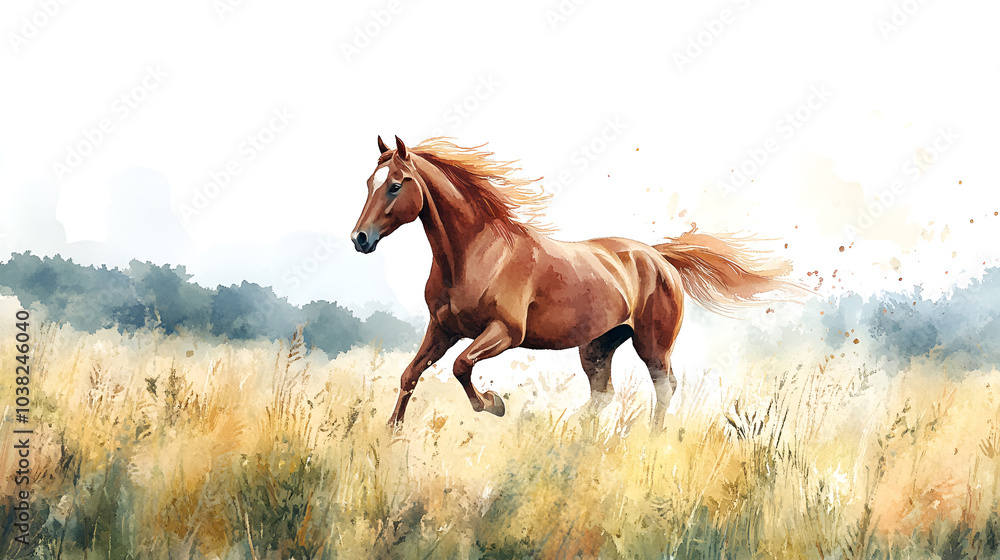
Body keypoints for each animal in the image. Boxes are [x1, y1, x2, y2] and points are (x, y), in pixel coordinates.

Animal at [351, 135, 801, 429]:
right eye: (369, 183)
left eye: (395, 186)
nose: (360, 239)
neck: (475, 254)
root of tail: (659, 257)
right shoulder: (442, 329)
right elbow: (410, 374)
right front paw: (392, 431)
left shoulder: (505, 333)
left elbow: (462, 366)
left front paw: (494, 404)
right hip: (597, 346)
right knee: (604, 394)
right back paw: (575, 436)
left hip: (652, 345)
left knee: (664, 386)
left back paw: (651, 439)